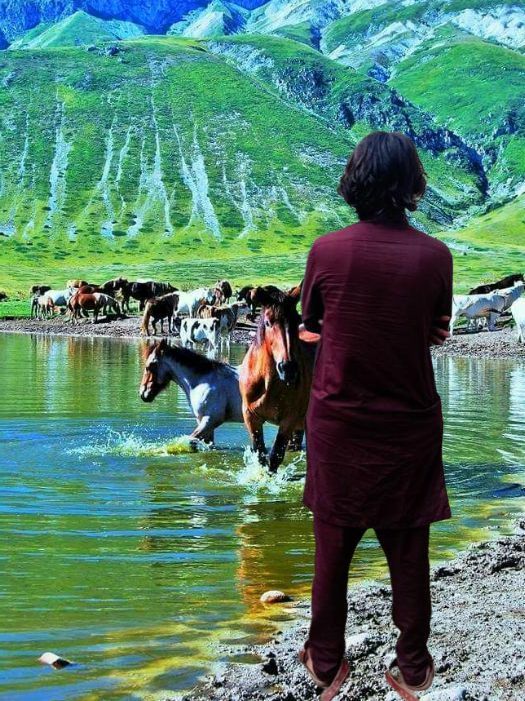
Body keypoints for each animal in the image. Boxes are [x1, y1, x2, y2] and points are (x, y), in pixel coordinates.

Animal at [239, 285, 314, 472]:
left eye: (296, 321)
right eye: (268, 322)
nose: (288, 368)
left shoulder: (289, 420)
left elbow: (274, 457)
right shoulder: (250, 416)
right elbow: (260, 454)